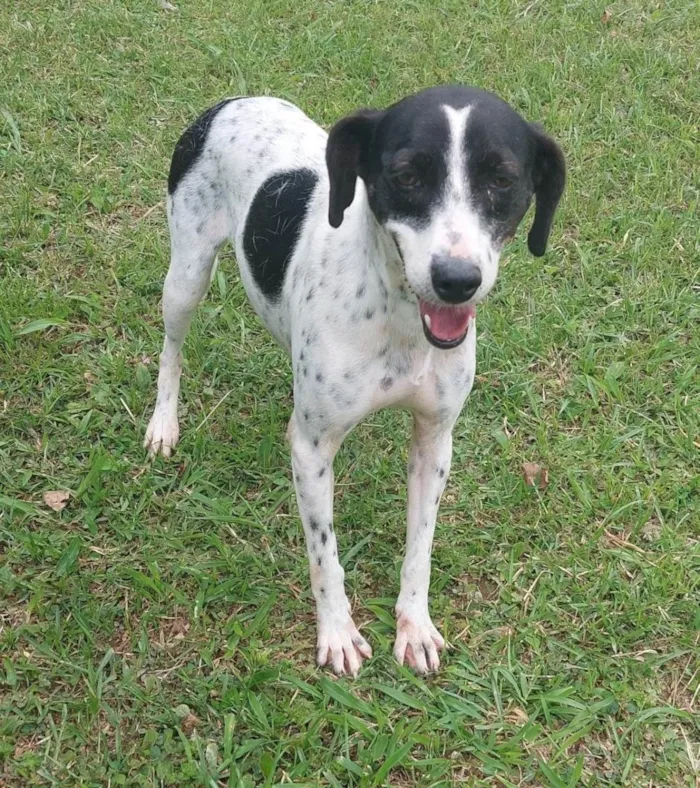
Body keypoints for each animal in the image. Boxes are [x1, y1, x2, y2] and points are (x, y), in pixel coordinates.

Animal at [145, 86, 568, 676]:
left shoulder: (434, 441)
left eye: (503, 179)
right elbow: (325, 554)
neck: (397, 317)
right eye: (406, 175)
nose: (456, 281)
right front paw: (338, 631)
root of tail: (231, 100)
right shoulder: (312, 449)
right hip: (186, 275)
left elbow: (420, 547)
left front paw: (414, 625)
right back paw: (163, 423)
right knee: (171, 350)